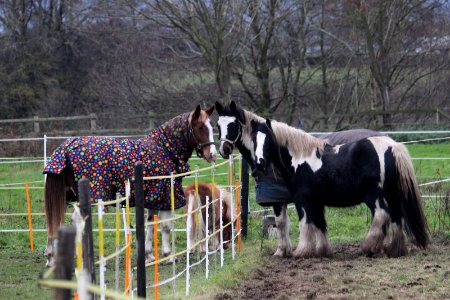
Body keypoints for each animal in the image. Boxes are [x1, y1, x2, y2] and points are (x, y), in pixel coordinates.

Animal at [43, 105, 216, 264]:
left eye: (211, 126)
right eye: (200, 127)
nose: (213, 155)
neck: (165, 150)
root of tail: (66, 147)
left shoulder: (154, 198)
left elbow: (150, 224)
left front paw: (149, 255)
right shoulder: (166, 196)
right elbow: (165, 226)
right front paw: (169, 256)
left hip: (67, 196)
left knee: (58, 222)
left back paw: (52, 257)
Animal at [214, 101, 386, 258]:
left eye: (233, 124)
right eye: (218, 124)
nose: (224, 149)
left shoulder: (281, 200)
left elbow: (282, 223)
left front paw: (282, 251)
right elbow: (316, 223)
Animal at [251, 118, 430, 258]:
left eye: (268, 139)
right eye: (254, 140)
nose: (259, 163)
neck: (299, 158)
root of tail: (392, 146)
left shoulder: (302, 199)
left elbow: (305, 223)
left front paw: (302, 251)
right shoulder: (316, 201)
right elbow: (319, 224)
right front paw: (323, 251)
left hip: (375, 195)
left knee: (381, 214)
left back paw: (369, 247)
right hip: (392, 194)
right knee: (397, 218)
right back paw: (394, 250)